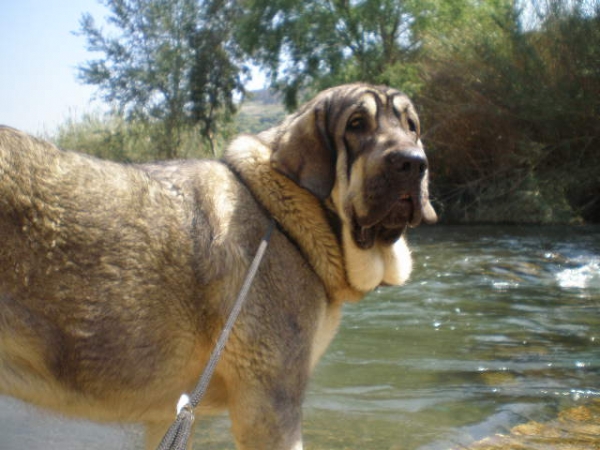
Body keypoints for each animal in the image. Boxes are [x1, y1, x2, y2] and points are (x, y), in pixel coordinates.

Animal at [0, 82, 436, 448]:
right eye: (357, 124)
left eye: (411, 126)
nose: (414, 163)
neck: (284, 211)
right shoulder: (269, 405)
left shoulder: (170, 417)